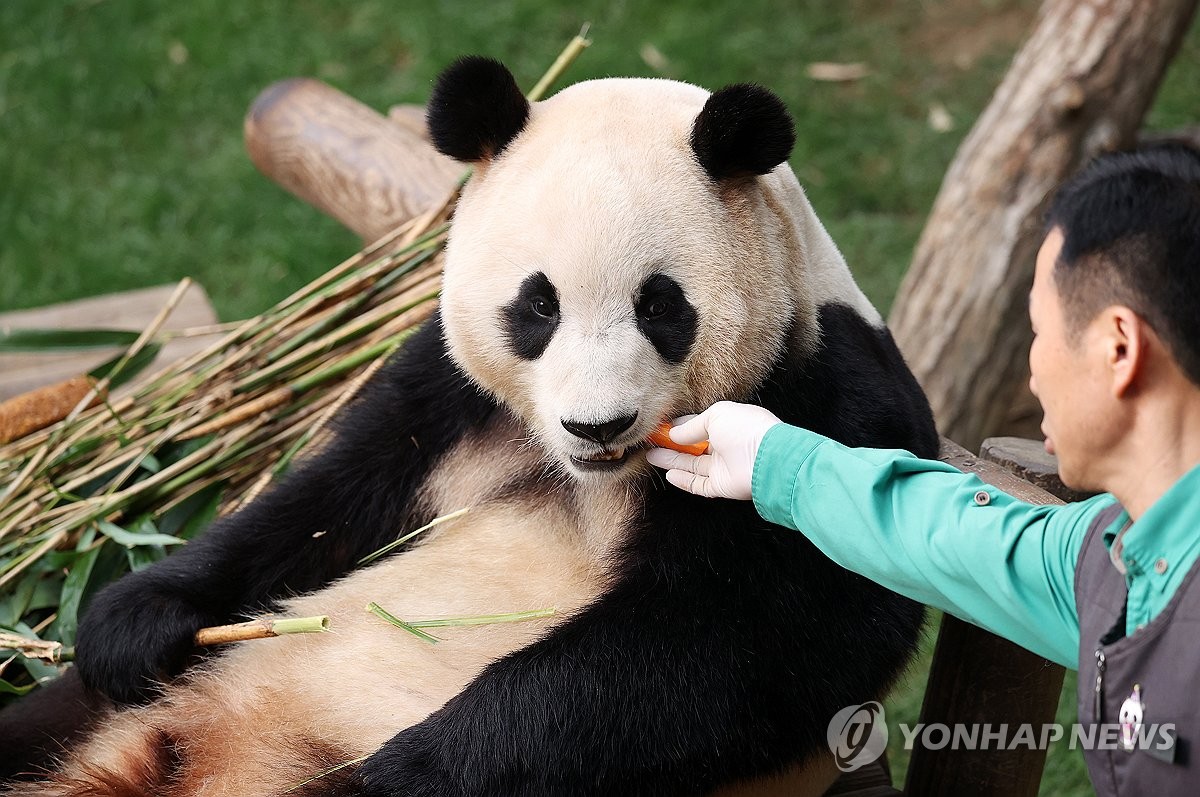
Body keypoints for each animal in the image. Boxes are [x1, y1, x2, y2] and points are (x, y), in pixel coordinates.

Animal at [0, 57, 936, 797]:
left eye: (661, 305)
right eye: (538, 304)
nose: (596, 424)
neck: (597, 475)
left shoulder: (826, 401)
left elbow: (746, 638)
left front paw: (408, 768)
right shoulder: (449, 399)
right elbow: (329, 498)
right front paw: (134, 617)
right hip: (130, 700)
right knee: (51, 713)